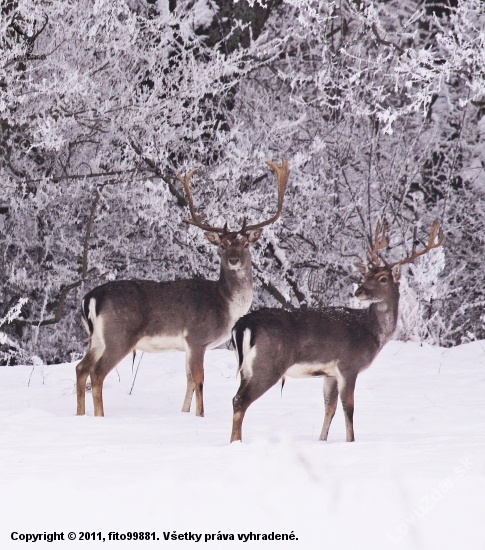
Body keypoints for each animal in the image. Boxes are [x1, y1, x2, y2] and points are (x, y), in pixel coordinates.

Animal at [74, 160, 290, 418]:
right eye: (222, 245)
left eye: (246, 244)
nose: (234, 260)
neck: (225, 304)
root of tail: (90, 298)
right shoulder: (197, 338)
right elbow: (199, 381)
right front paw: (200, 415)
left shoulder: (187, 346)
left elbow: (188, 381)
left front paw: (184, 413)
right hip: (119, 335)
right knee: (97, 373)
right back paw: (100, 416)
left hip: (97, 338)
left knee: (80, 368)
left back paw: (79, 414)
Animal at [229, 220, 444, 444]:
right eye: (366, 275)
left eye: (383, 278)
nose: (359, 291)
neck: (371, 331)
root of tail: (242, 324)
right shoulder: (348, 365)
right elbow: (348, 408)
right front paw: (351, 441)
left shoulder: (329, 373)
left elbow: (329, 408)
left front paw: (322, 440)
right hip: (268, 365)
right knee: (240, 400)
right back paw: (236, 443)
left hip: (246, 368)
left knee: (236, 398)